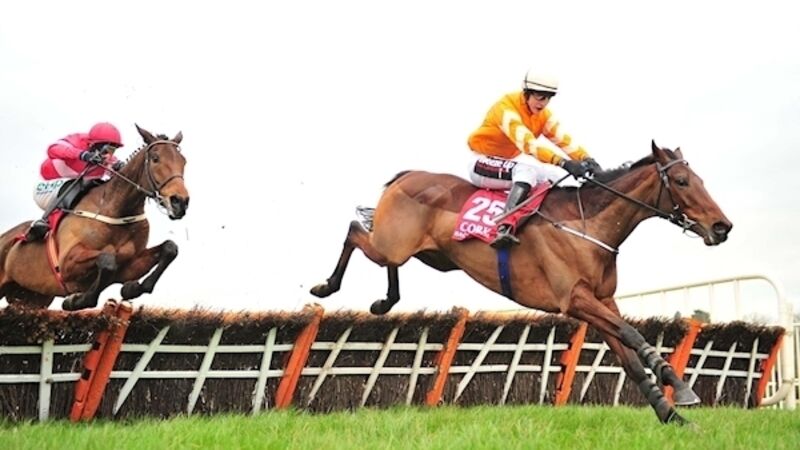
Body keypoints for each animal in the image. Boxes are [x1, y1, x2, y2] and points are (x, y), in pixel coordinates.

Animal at [0, 124, 189, 312]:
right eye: (156, 158)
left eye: (183, 161)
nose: (180, 202)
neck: (117, 210)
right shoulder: (67, 263)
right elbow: (107, 260)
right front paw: (76, 300)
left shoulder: (129, 266)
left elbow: (170, 248)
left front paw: (132, 288)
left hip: (32, 298)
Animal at [310, 141, 732, 424]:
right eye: (681, 180)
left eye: (698, 178)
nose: (722, 226)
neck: (587, 225)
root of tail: (407, 175)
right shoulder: (575, 299)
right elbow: (632, 335)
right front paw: (679, 388)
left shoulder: (601, 301)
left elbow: (627, 354)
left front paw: (671, 415)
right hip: (391, 244)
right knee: (354, 230)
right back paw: (326, 287)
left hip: (430, 255)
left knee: (384, 256)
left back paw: (385, 301)